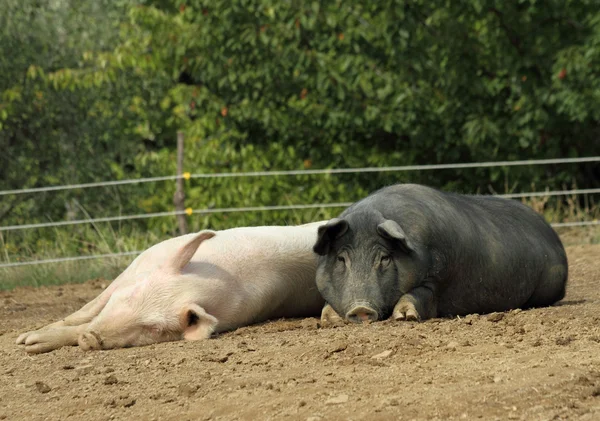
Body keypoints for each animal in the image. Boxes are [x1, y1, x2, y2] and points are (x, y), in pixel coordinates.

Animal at [16, 221, 326, 352]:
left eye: (154, 329)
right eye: (131, 295)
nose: (91, 339)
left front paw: (32, 345)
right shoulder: (129, 276)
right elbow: (87, 312)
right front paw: (26, 342)